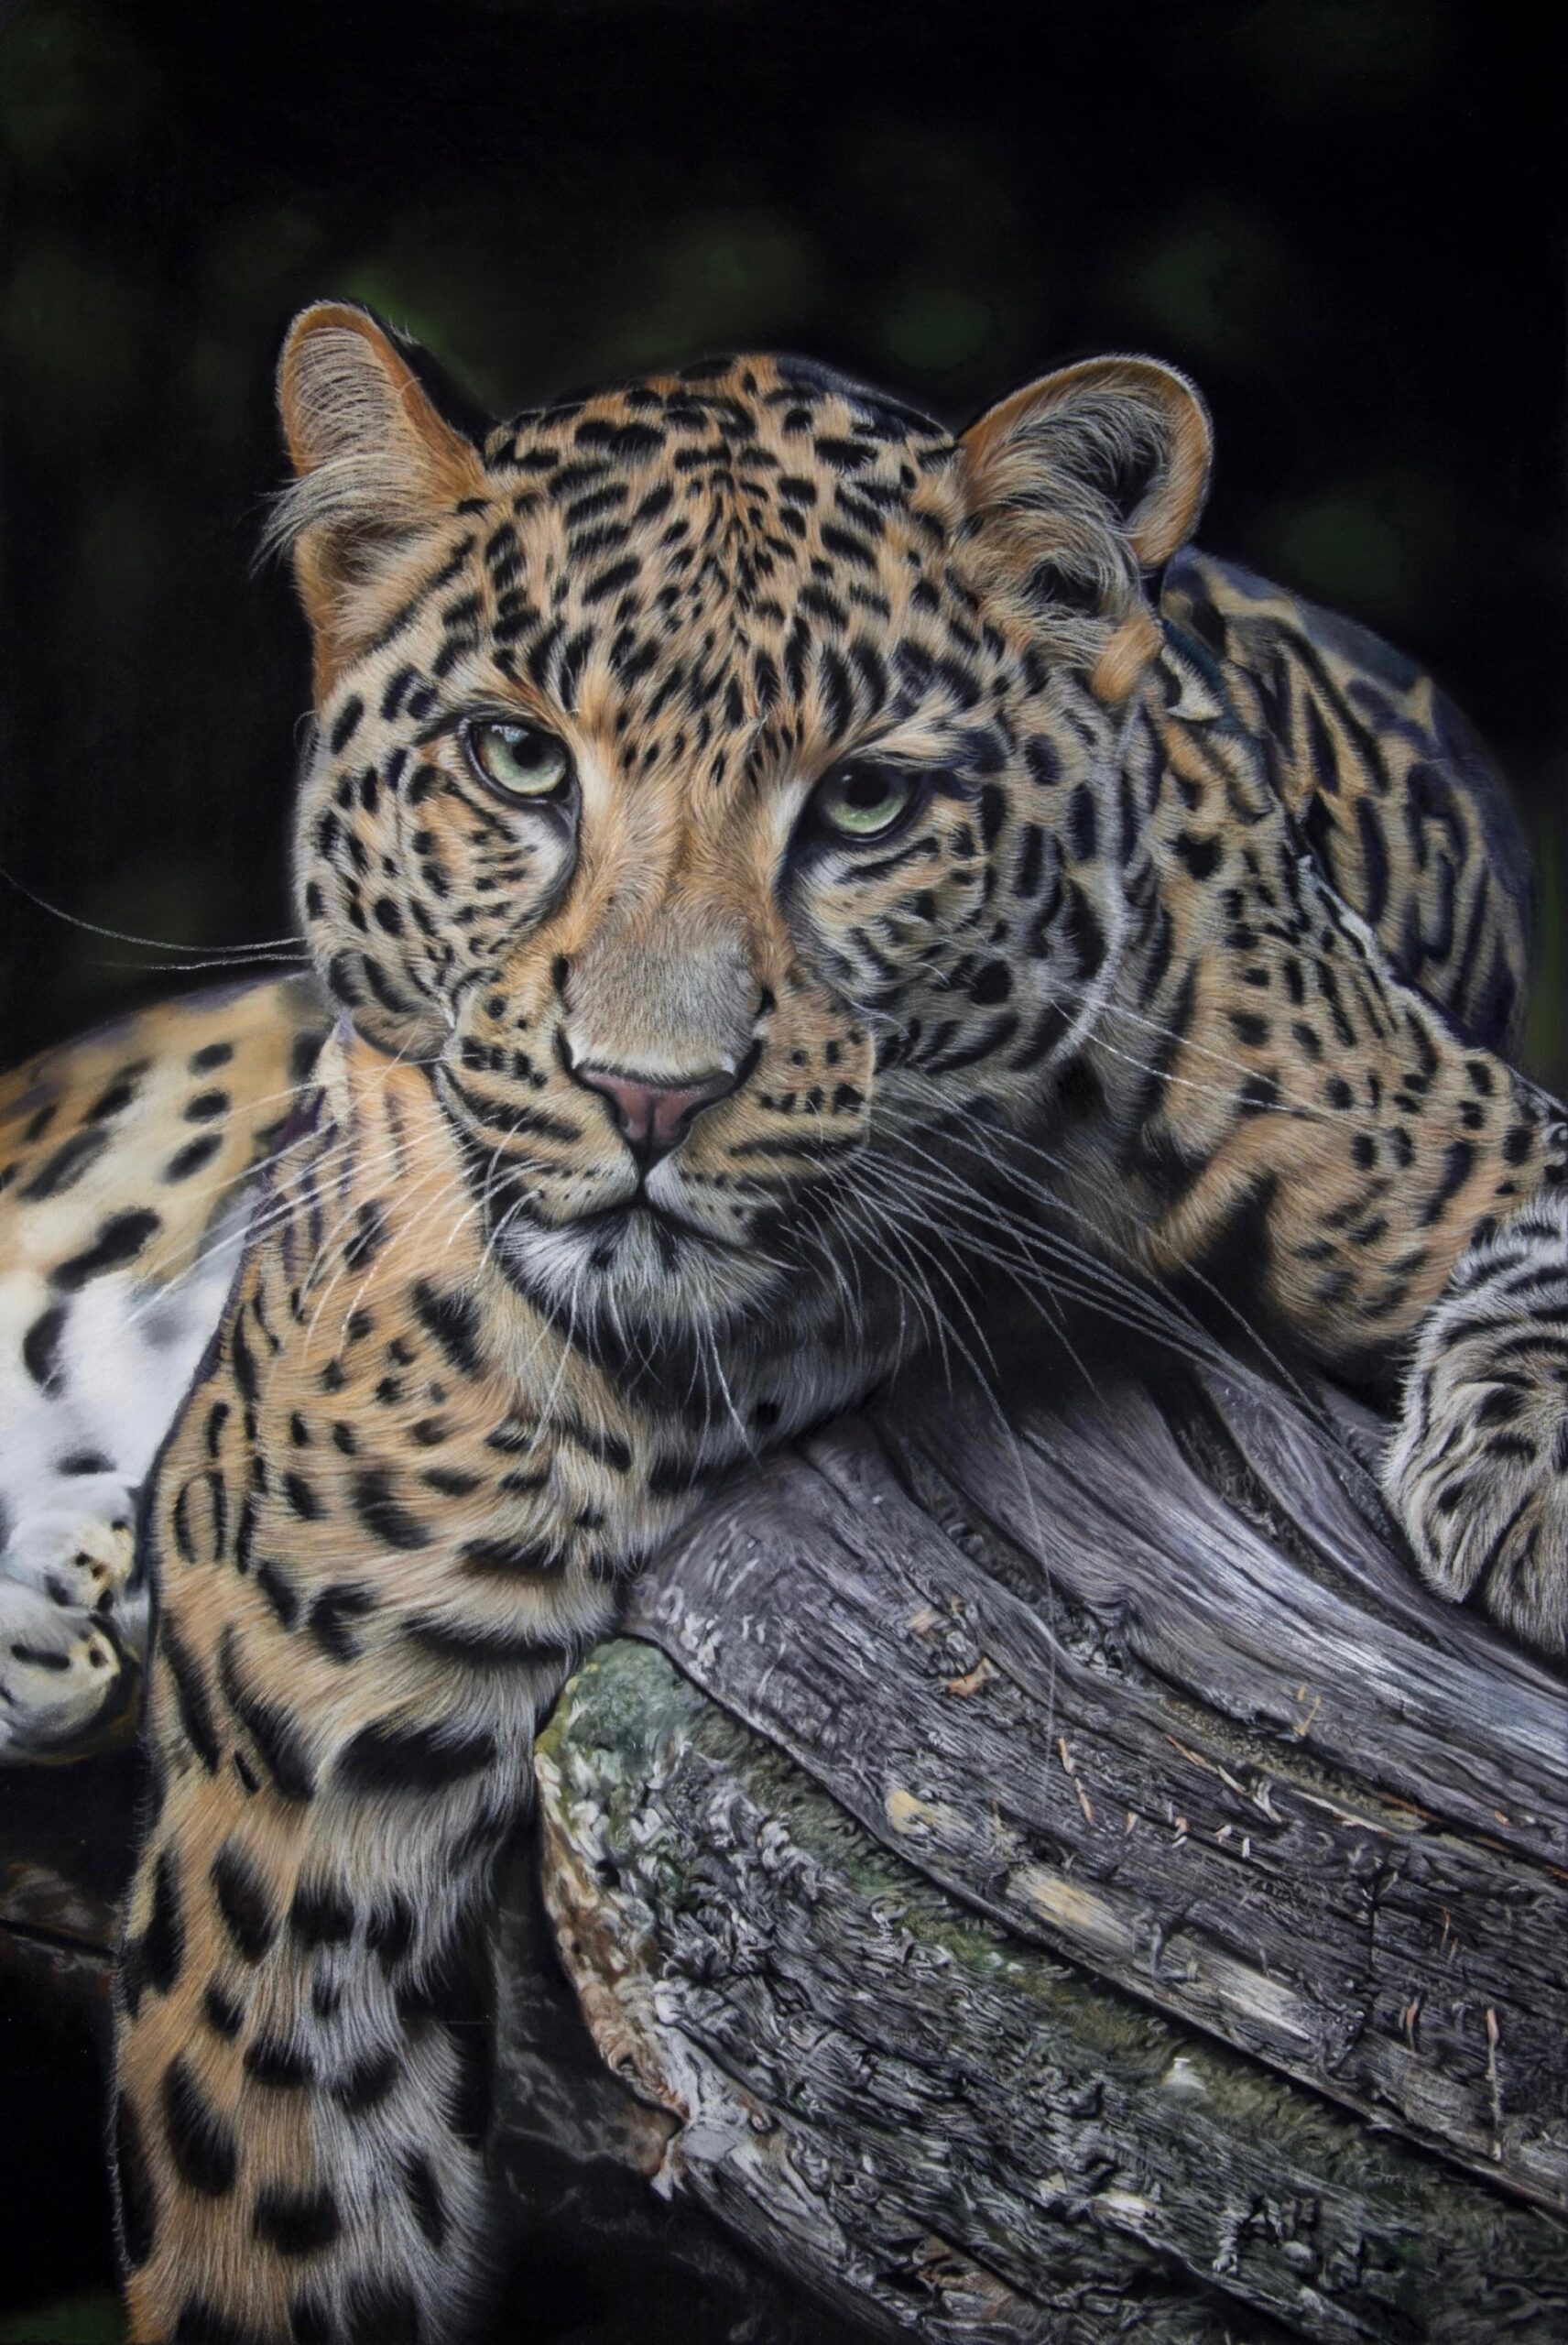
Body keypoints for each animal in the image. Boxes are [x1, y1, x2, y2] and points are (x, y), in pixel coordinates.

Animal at [0, 304, 1562, 2343]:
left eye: (868, 804)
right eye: (518, 761)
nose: (645, 1097)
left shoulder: (1428, 1106)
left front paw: (1530, 1480)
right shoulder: (286, 1815)